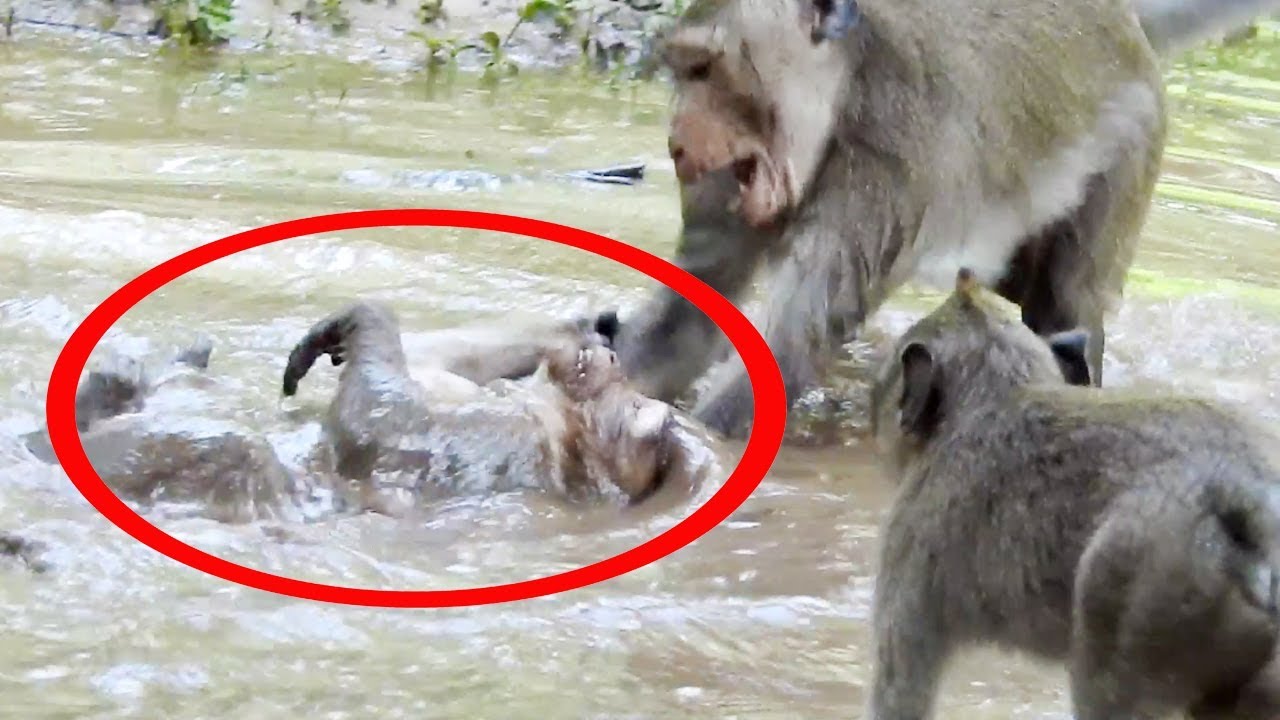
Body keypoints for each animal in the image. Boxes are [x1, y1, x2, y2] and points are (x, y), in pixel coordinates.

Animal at [603, 0, 1280, 439]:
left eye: (705, 69)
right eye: (682, 71)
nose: (677, 140)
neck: (844, 92)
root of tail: (1124, 24)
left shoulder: (889, 163)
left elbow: (793, 347)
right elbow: (685, 325)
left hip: (1130, 152)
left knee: (1065, 307)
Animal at [864, 267, 1280, 720]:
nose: (881, 412)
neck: (997, 394)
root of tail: (1251, 496)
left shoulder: (914, 536)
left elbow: (901, 685)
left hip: (1140, 573)